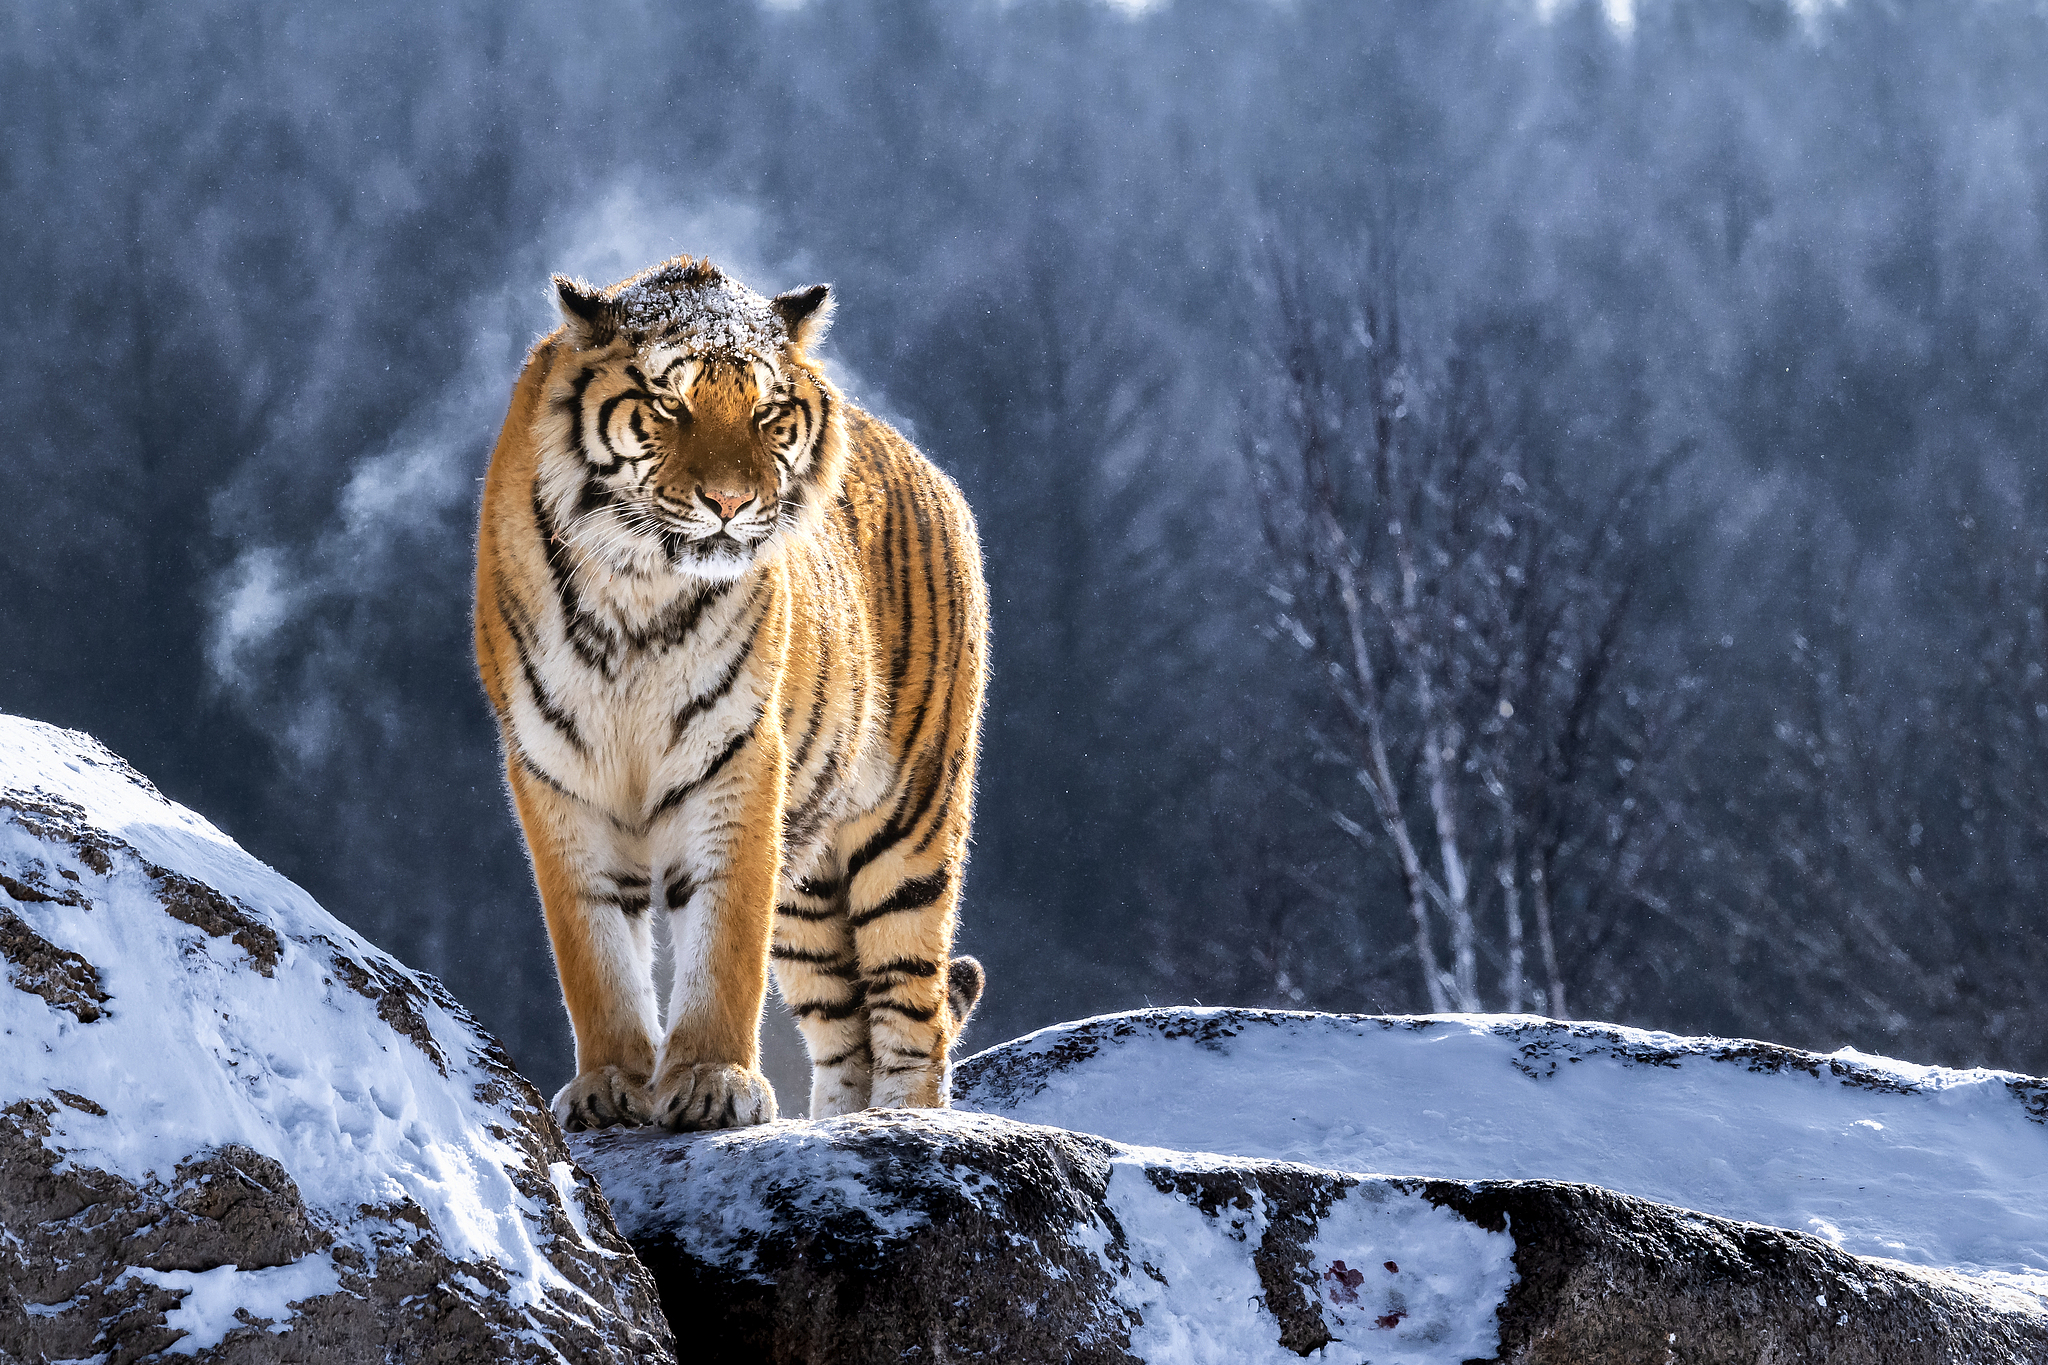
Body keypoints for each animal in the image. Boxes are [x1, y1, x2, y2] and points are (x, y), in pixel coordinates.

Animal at [474, 254, 988, 1132]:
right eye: (669, 404)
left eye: (768, 411)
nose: (730, 503)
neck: (639, 588)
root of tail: (937, 475)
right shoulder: (554, 769)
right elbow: (594, 948)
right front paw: (610, 1085)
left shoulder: (737, 757)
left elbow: (721, 943)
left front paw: (713, 1080)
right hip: (809, 893)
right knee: (846, 1030)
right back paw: (836, 1126)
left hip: (910, 825)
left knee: (910, 1014)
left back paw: (904, 1122)